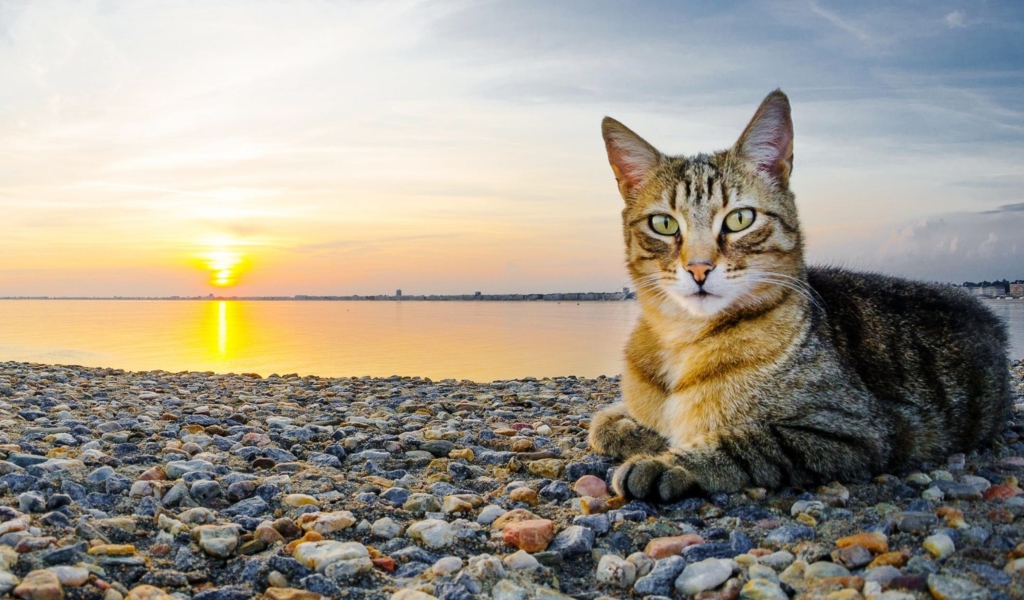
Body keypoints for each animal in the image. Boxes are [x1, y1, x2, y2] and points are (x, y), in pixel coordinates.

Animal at [589, 88, 1011, 499]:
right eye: (664, 224)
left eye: (739, 219)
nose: (698, 268)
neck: (681, 338)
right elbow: (603, 422)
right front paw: (646, 435)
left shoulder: (855, 431)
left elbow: (749, 441)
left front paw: (669, 463)